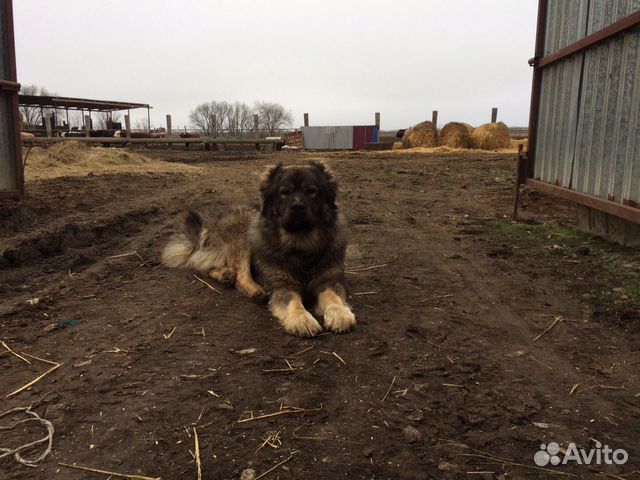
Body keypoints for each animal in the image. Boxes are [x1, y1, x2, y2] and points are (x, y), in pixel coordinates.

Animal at [160, 162, 358, 338]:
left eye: (311, 191)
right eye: (284, 193)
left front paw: (340, 314)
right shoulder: (281, 286)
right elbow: (293, 302)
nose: (297, 207)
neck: (300, 244)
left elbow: (333, 298)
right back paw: (252, 288)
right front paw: (302, 320)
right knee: (238, 274)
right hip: (244, 228)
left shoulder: (329, 281)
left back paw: (225, 274)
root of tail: (212, 227)